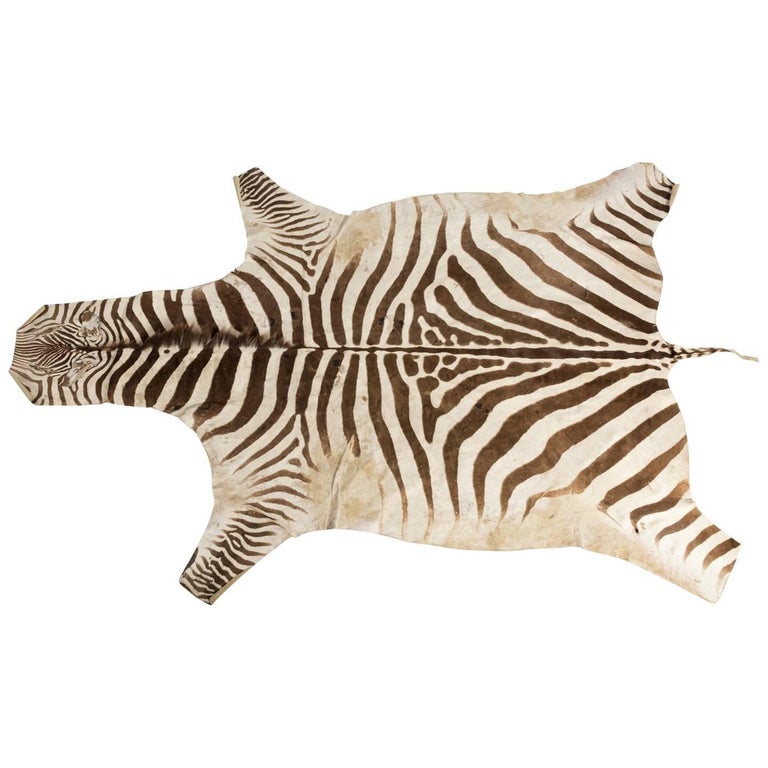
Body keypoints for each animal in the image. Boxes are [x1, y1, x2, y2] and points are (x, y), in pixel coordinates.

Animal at [9, 162, 749, 603]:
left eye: (56, 376)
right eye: (72, 333)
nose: (20, 348)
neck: (222, 345)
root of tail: (647, 344)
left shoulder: (268, 497)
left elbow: (205, 572)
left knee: (714, 560)